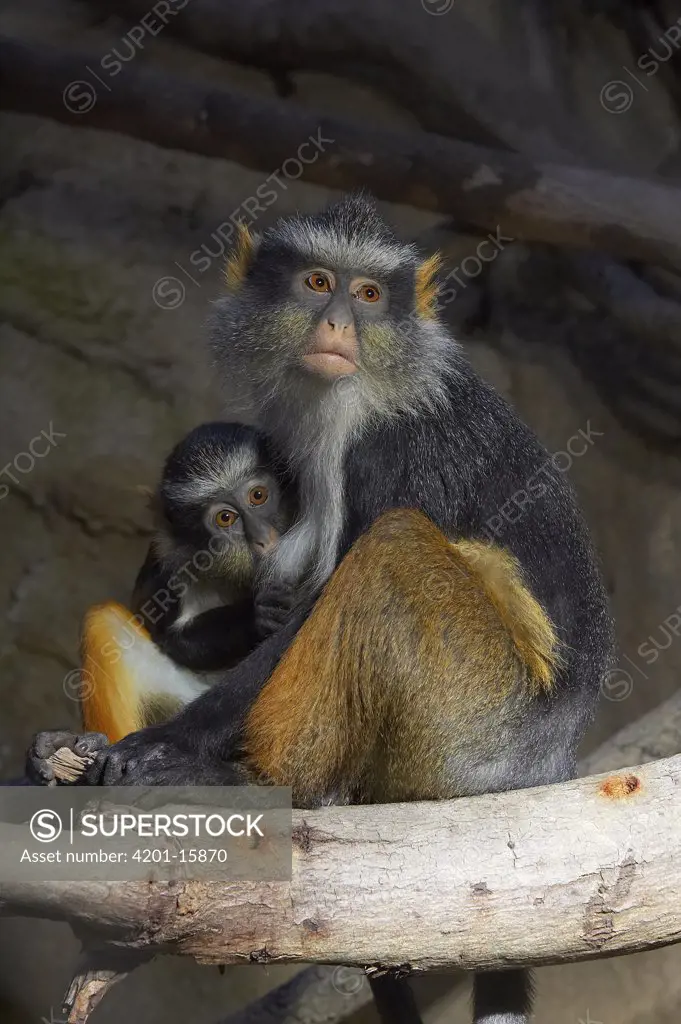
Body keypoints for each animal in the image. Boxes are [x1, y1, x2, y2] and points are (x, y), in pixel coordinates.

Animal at [69, 193, 610, 1024]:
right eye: (317, 281)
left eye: (368, 295)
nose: (335, 325)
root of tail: (547, 763)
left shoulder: (389, 448)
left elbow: (319, 597)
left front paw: (171, 751)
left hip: (470, 718)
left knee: (390, 548)